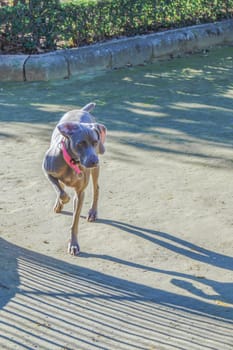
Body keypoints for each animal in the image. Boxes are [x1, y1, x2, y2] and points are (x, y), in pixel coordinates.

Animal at [42, 102, 106, 256]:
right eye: (80, 143)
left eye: (95, 142)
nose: (94, 161)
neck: (72, 162)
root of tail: (82, 110)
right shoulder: (47, 170)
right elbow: (60, 190)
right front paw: (62, 201)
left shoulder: (80, 193)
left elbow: (75, 222)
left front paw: (73, 244)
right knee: (61, 186)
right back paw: (59, 204)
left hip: (95, 171)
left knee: (96, 188)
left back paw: (93, 213)